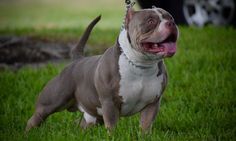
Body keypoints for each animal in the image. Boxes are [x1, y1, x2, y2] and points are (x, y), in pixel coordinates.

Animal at [25, 6, 178, 132]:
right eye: (151, 21)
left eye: (170, 18)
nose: (172, 23)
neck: (141, 65)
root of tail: (77, 60)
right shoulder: (109, 103)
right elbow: (112, 126)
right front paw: (113, 136)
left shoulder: (152, 104)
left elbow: (146, 125)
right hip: (52, 102)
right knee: (35, 118)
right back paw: (28, 133)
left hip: (92, 115)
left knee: (83, 124)